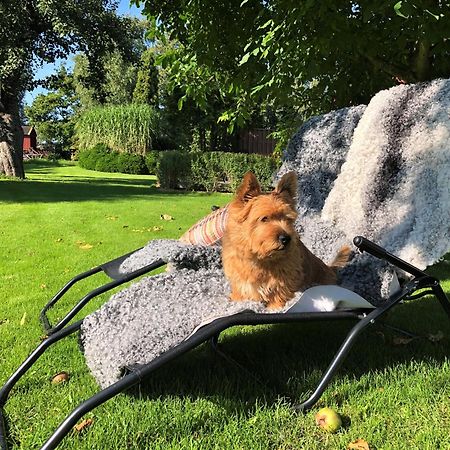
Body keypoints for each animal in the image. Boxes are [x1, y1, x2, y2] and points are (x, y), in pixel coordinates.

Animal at [222, 171, 352, 308]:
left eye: (288, 219)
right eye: (264, 218)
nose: (286, 238)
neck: (262, 258)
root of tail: (330, 268)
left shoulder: (285, 280)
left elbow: (279, 294)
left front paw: (275, 307)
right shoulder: (240, 281)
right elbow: (241, 293)